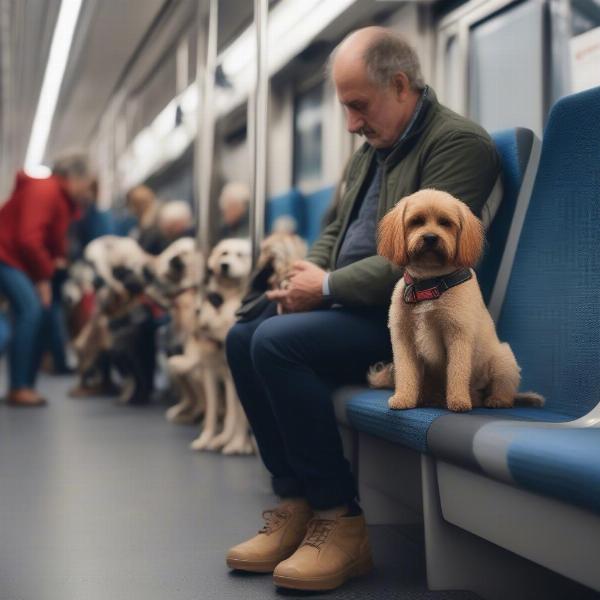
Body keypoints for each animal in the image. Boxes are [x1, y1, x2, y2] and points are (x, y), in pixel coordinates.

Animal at [368, 189, 540, 412]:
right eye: (417, 221)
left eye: (445, 223)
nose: (430, 238)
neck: (430, 284)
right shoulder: (403, 340)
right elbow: (406, 373)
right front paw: (403, 398)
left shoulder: (458, 336)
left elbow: (457, 373)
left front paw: (458, 401)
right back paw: (432, 398)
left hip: (503, 359)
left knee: (503, 389)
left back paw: (494, 400)